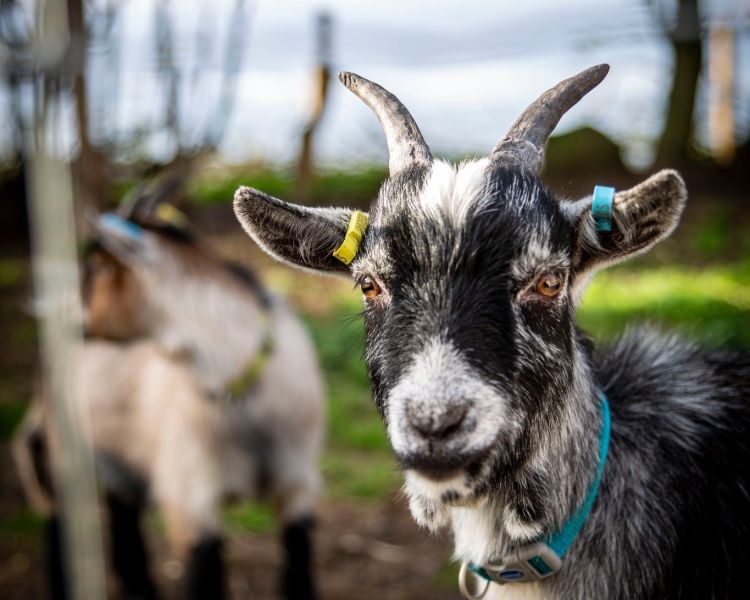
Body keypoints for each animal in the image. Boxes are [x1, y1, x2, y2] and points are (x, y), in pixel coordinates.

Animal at [13, 205, 325, 600]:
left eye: (98, 267)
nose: (55, 315)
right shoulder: (189, 499)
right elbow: (205, 577)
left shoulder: (297, 483)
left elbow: (298, 573)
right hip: (64, 454)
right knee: (61, 526)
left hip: (121, 461)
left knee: (123, 523)